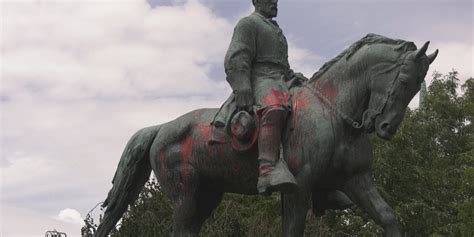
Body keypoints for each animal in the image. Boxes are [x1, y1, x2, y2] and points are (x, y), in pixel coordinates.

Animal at [95, 33, 436, 237]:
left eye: (416, 86)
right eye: (404, 79)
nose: (386, 128)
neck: (333, 112)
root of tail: (162, 127)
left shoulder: (357, 180)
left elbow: (388, 217)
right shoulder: (299, 188)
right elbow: (293, 229)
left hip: (208, 195)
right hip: (185, 195)